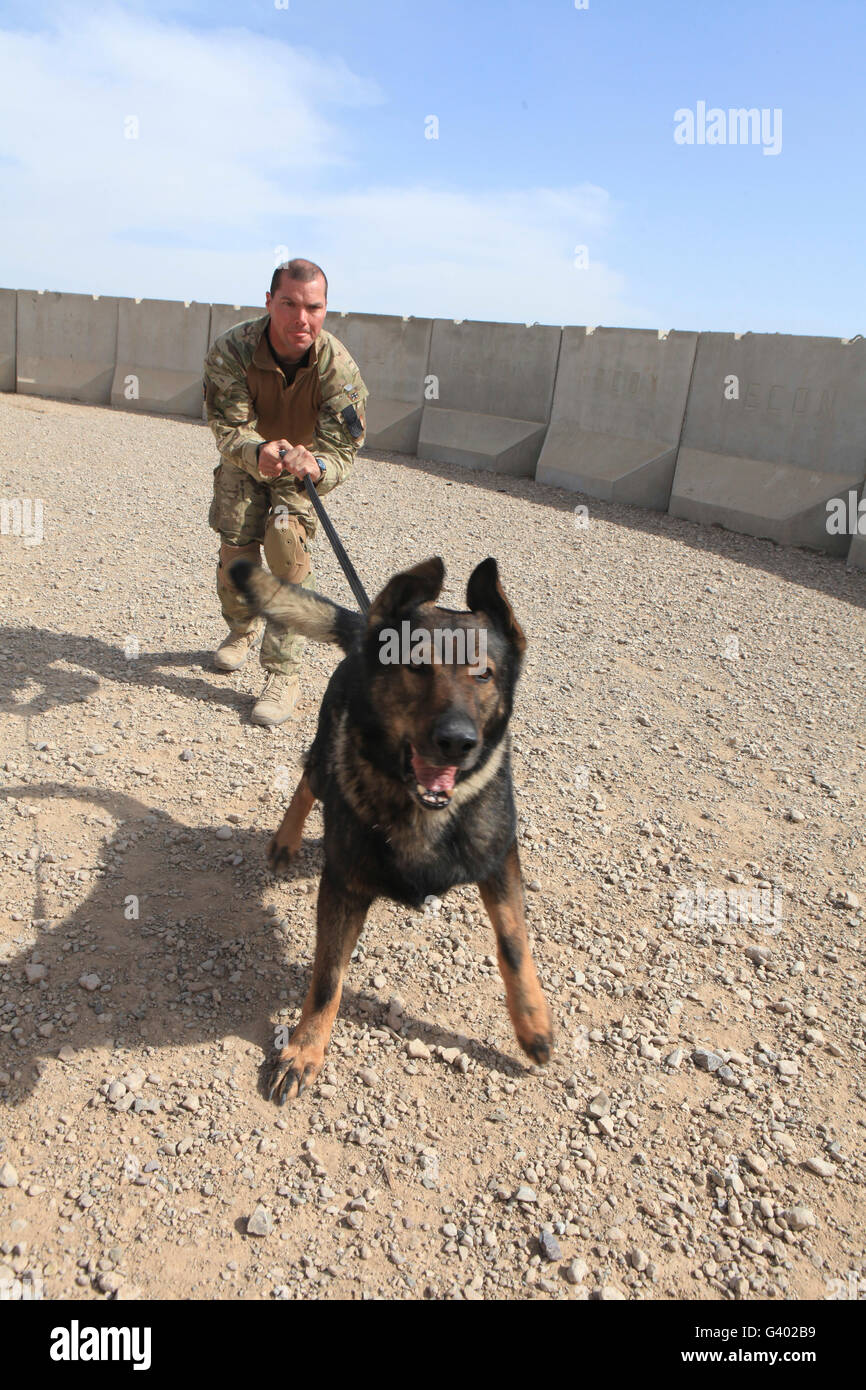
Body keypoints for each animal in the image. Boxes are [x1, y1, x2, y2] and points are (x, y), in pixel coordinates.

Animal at [230, 547, 556, 1100]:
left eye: (484, 674)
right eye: (416, 666)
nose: (457, 741)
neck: (423, 806)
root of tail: (367, 624)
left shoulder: (499, 858)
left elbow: (514, 943)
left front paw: (533, 1023)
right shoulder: (342, 887)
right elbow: (327, 978)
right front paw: (305, 1049)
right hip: (327, 763)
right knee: (308, 777)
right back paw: (285, 841)